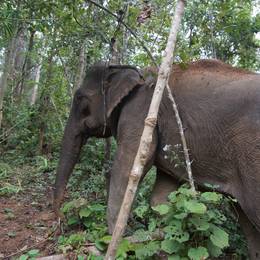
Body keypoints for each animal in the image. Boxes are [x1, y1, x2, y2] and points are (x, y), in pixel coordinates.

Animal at [53, 60, 260, 258]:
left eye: (79, 98)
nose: (60, 219)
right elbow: (160, 199)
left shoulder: (140, 114)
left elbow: (124, 172)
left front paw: (114, 244)